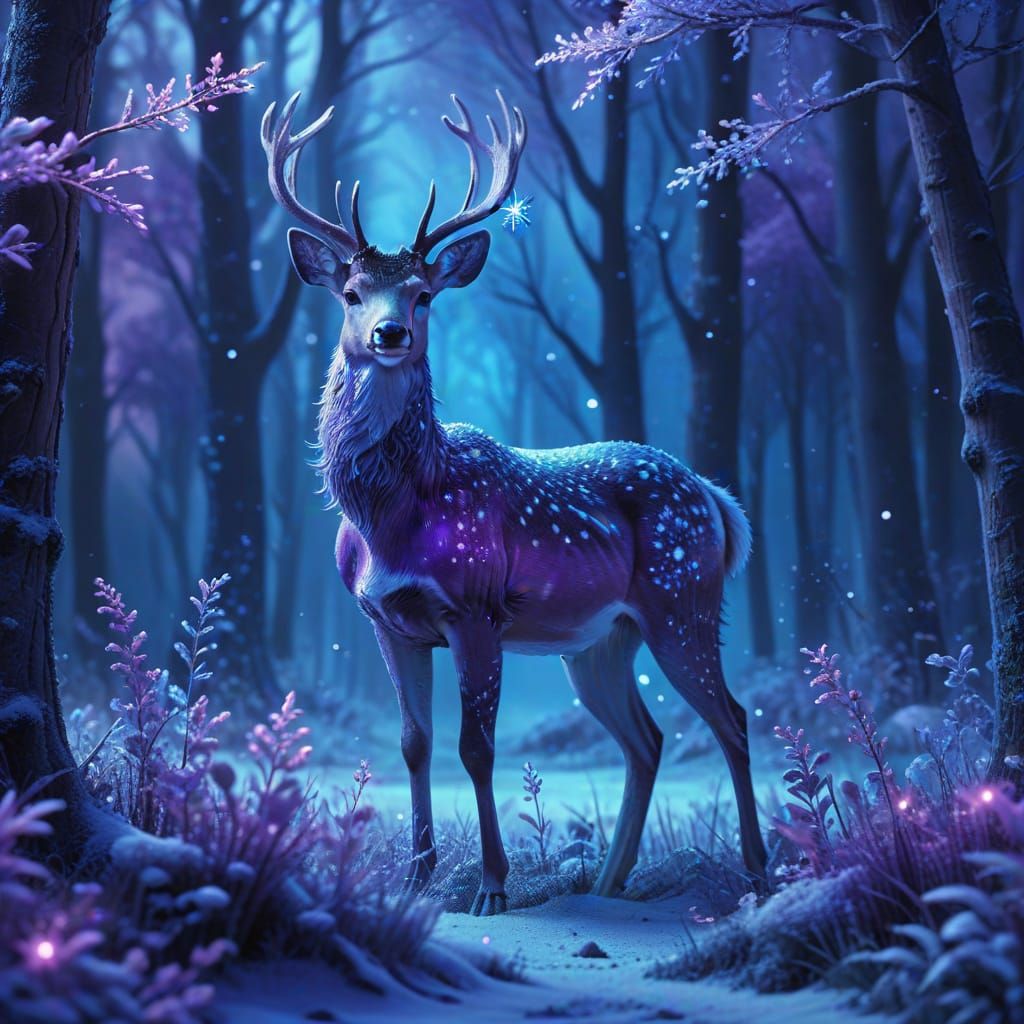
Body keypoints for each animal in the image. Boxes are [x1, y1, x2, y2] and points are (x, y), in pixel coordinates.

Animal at [261, 89, 768, 916]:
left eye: (423, 294)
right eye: (351, 293)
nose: (389, 332)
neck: (392, 517)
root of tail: (720, 503)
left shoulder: (476, 608)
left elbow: (476, 747)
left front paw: (492, 887)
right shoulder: (385, 620)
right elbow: (415, 743)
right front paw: (416, 879)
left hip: (683, 598)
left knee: (732, 717)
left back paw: (757, 874)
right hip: (600, 638)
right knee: (647, 738)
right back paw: (609, 880)